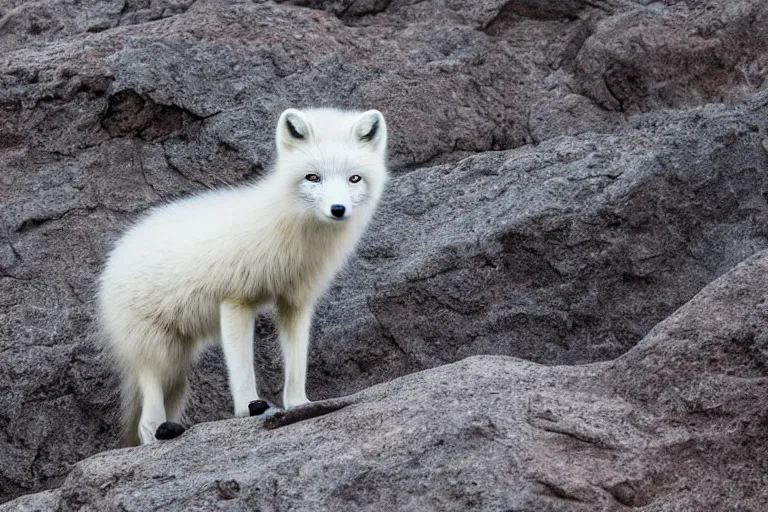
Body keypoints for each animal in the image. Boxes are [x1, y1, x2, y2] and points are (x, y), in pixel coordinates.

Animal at [100, 107, 390, 444]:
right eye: (313, 177)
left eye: (354, 178)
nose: (338, 209)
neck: (297, 237)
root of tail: (115, 254)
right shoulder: (234, 300)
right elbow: (241, 367)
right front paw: (248, 407)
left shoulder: (295, 301)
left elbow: (296, 362)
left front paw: (299, 403)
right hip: (156, 353)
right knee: (146, 420)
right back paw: (159, 436)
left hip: (177, 363)